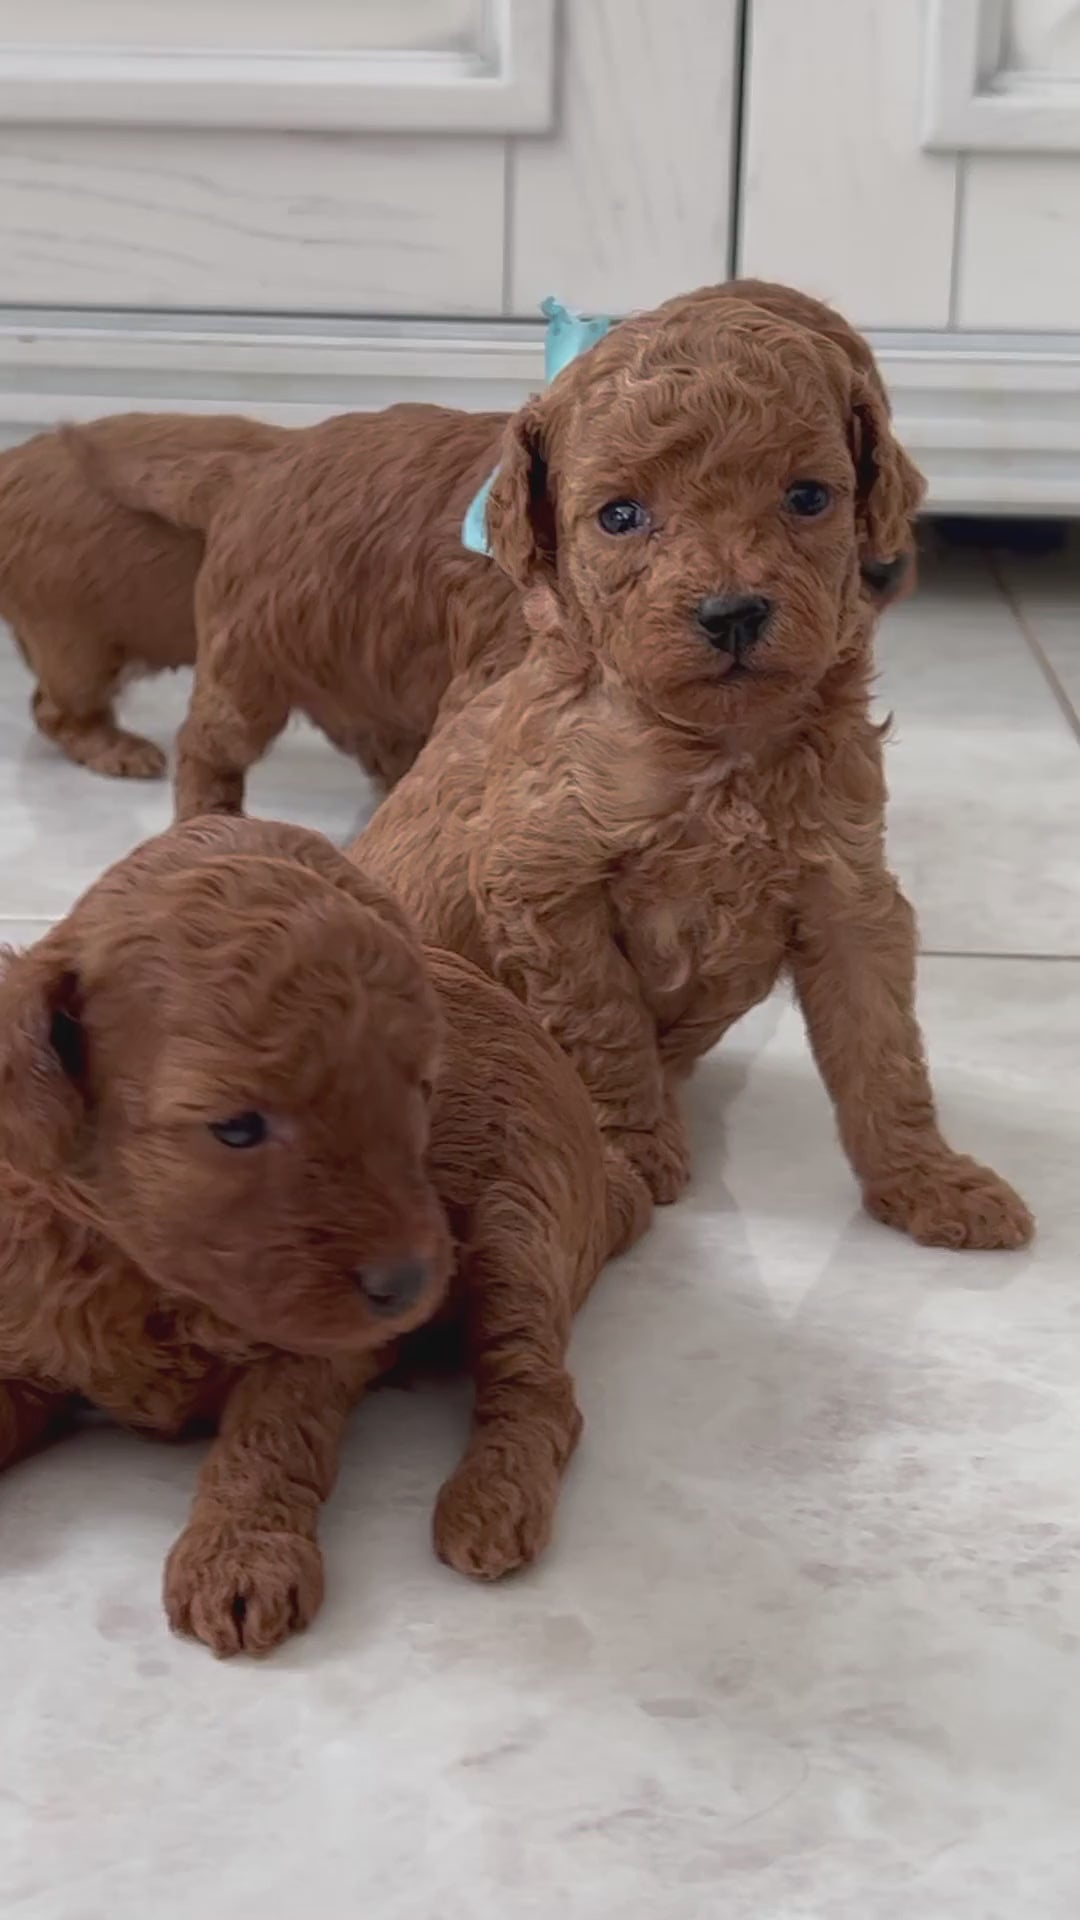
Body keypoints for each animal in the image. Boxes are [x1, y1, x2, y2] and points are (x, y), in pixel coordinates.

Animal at [0, 282, 911, 810]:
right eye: (621, 515)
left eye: (810, 497)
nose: (733, 615)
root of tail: (261, 463)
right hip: (237, 660)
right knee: (180, 738)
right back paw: (170, 789)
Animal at [0, 816, 649, 1657]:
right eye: (236, 1128)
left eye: (422, 1090)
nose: (409, 1285)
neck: (147, 1272)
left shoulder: (321, 1345)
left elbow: (274, 1430)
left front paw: (240, 1557)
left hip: (523, 1218)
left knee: (536, 1385)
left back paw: (490, 1502)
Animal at [357, 284, 1033, 1254]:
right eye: (620, 516)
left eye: (808, 496)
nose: (733, 613)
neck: (718, 752)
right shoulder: (543, 884)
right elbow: (606, 1027)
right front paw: (632, 1154)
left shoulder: (849, 891)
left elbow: (884, 1051)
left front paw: (929, 1180)